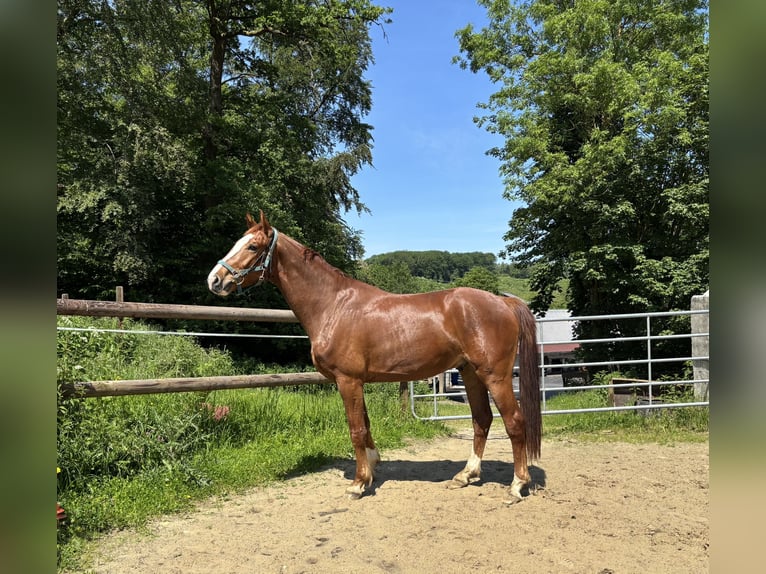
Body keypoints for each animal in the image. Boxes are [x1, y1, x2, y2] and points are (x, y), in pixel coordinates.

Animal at [207, 211, 541, 503]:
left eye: (252, 246)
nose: (214, 280)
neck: (334, 305)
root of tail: (503, 302)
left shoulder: (347, 380)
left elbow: (355, 429)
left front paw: (358, 484)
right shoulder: (357, 382)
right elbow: (365, 425)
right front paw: (371, 469)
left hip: (494, 376)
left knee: (514, 422)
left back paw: (517, 485)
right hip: (470, 374)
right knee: (482, 419)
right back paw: (466, 475)